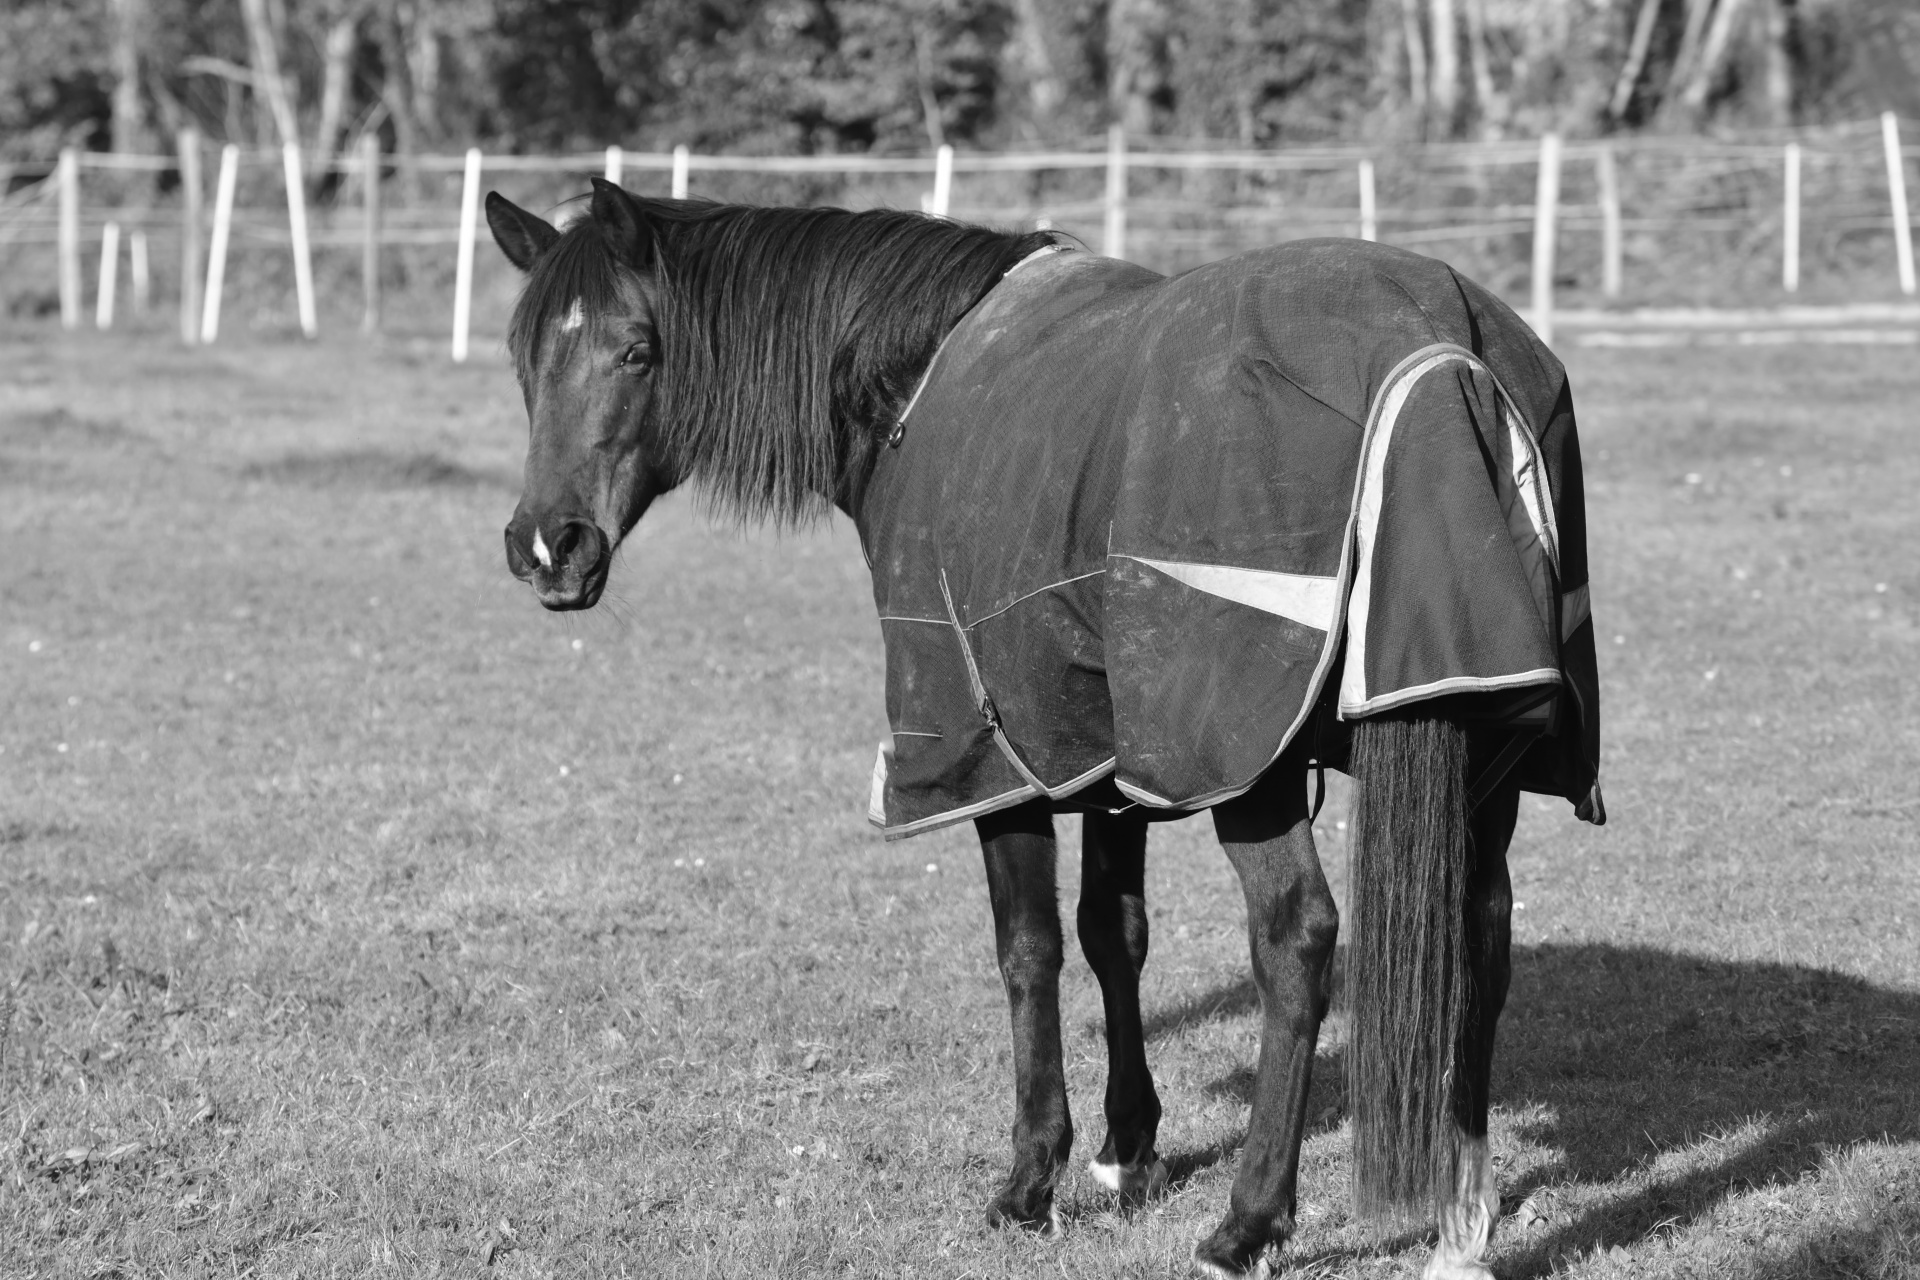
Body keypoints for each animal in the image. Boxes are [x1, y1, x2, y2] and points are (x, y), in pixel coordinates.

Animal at [480, 180, 1605, 1280]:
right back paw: (1461, 1219)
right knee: (1479, 931)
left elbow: (1029, 947)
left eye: (637, 349)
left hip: (1247, 762)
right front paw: (1127, 1147)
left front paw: (1031, 1179)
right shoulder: (1099, 734)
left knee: (1298, 938)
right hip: (1481, 740)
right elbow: (1116, 932)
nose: (545, 546)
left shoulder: (993, 745)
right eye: (523, 357)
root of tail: (1438, 346)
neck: (909, 377)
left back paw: (1248, 1223)